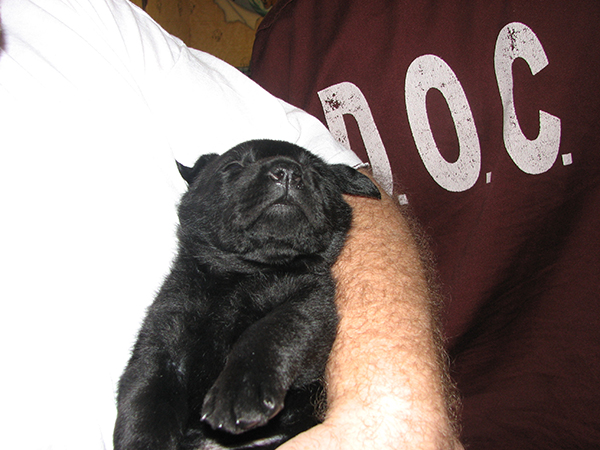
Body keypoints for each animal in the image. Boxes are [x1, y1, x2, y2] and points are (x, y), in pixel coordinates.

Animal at [113, 139, 380, 448]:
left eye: (319, 173)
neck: (245, 276)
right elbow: (145, 396)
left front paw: (241, 391)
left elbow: (269, 331)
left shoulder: (311, 304)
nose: (287, 171)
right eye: (233, 166)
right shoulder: (164, 333)